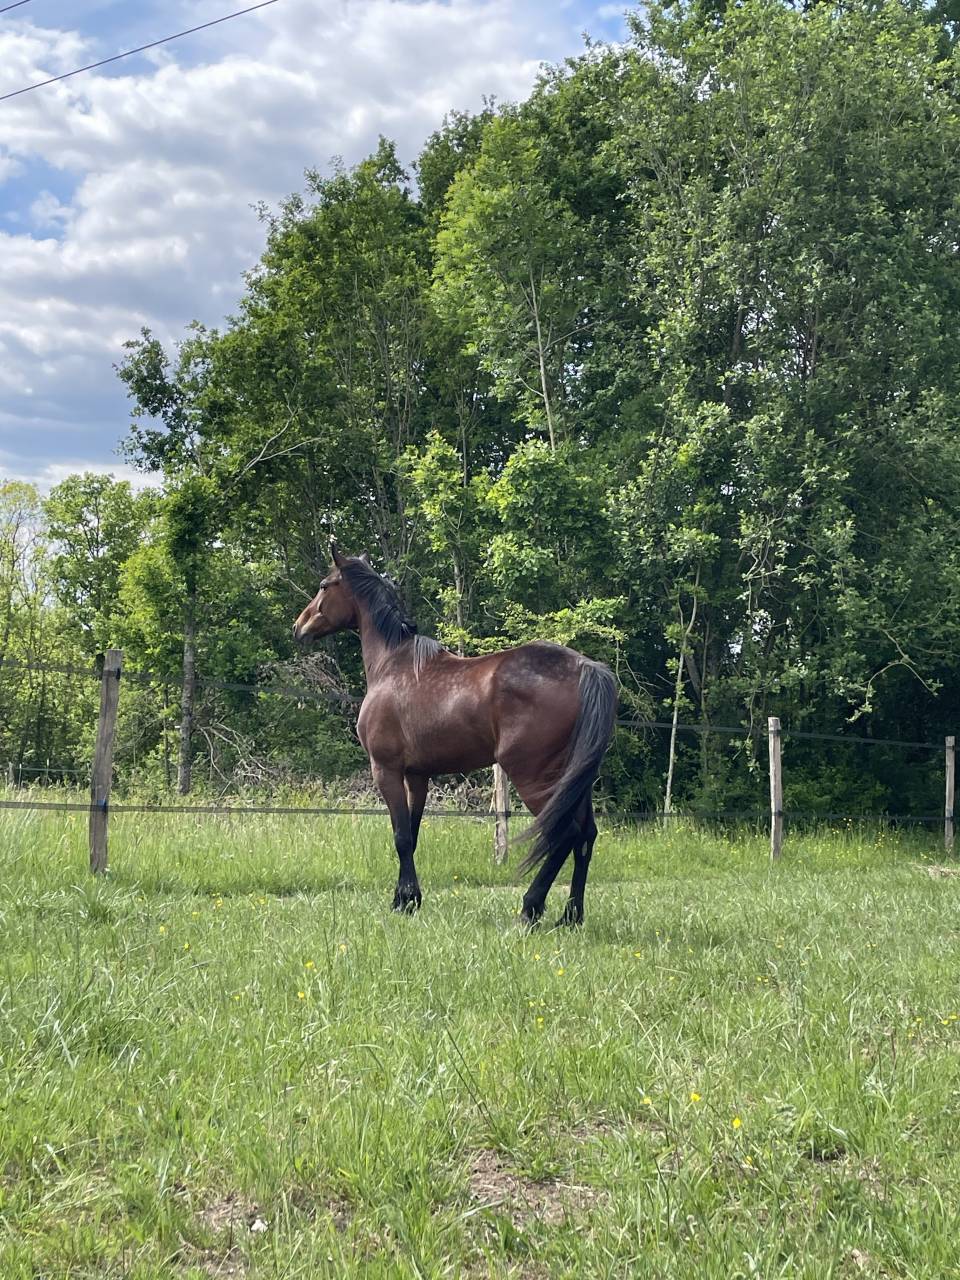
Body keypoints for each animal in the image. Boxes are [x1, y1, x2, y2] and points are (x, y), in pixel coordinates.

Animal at [292, 543, 618, 926]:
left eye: (324, 586)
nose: (298, 627)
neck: (393, 664)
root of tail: (585, 667)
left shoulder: (386, 770)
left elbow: (400, 836)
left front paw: (404, 902)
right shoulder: (417, 776)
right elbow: (413, 834)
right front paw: (407, 898)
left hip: (536, 778)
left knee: (564, 835)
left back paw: (530, 909)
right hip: (575, 780)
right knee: (585, 836)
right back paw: (571, 917)